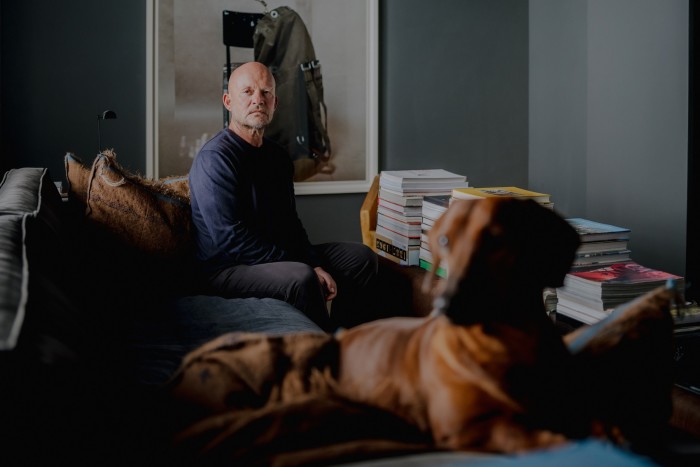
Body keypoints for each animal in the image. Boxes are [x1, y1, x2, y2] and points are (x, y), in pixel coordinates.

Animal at [336, 198, 584, 454]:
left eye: (495, 239)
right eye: (445, 240)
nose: (444, 306)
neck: (508, 341)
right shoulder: (461, 429)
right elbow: (516, 433)